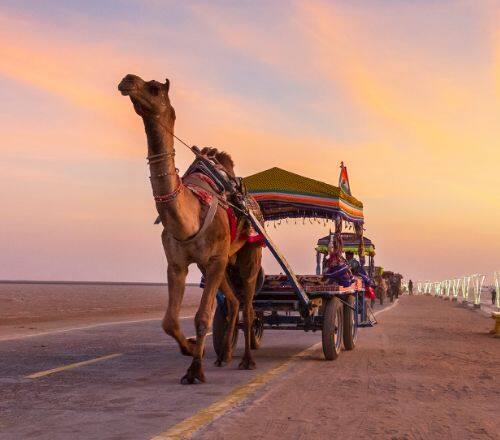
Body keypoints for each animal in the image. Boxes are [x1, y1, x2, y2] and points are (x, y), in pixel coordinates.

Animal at [118, 74, 264, 384]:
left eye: (154, 88)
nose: (127, 80)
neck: (190, 218)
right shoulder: (178, 263)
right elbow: (169, 321)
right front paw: (191, 349)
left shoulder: (215, 258)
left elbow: (202, 317)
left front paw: (195, 370)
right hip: (220, 262)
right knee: (233, 302)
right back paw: (224, 355)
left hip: (249, 252)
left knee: (247, 304)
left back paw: (247, 360)